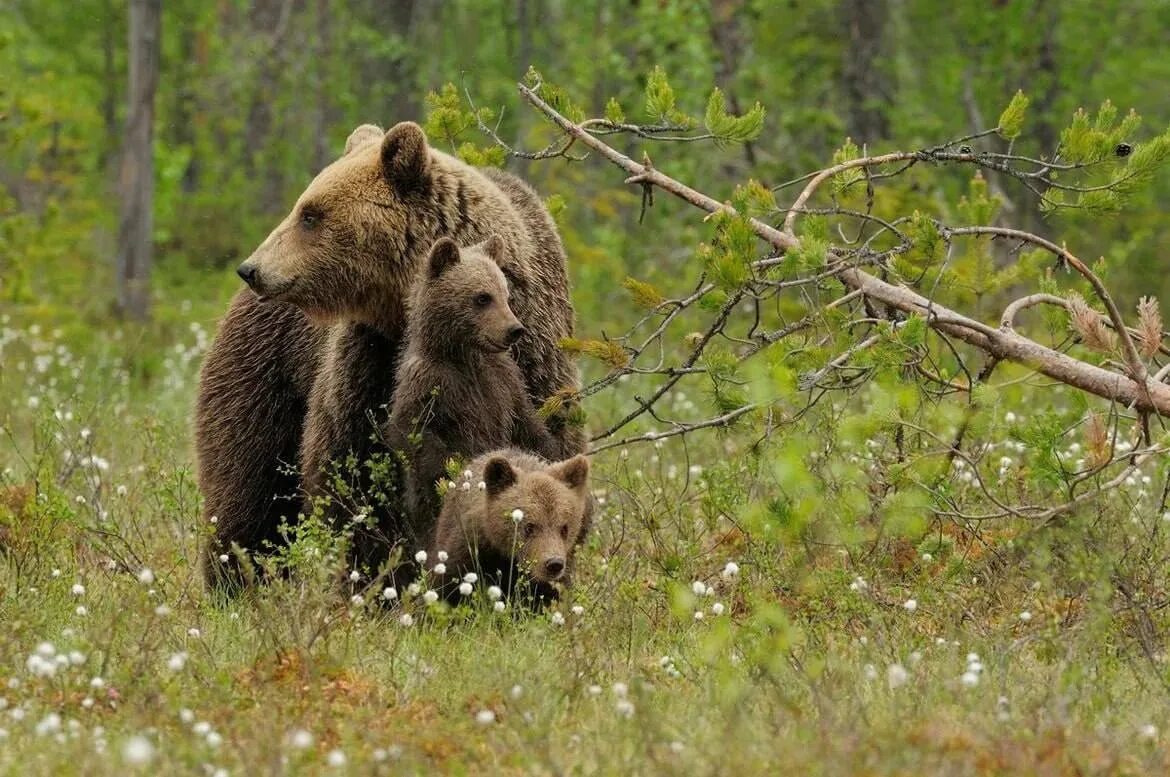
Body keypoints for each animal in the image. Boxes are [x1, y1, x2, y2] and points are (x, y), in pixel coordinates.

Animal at [386, 236, 563, 540]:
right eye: (482, 297)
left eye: (506, 295)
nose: (515, 330)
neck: (465, 356)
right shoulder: (431, 382)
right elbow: (412, 433)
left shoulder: (505, 383)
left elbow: (528, 426)